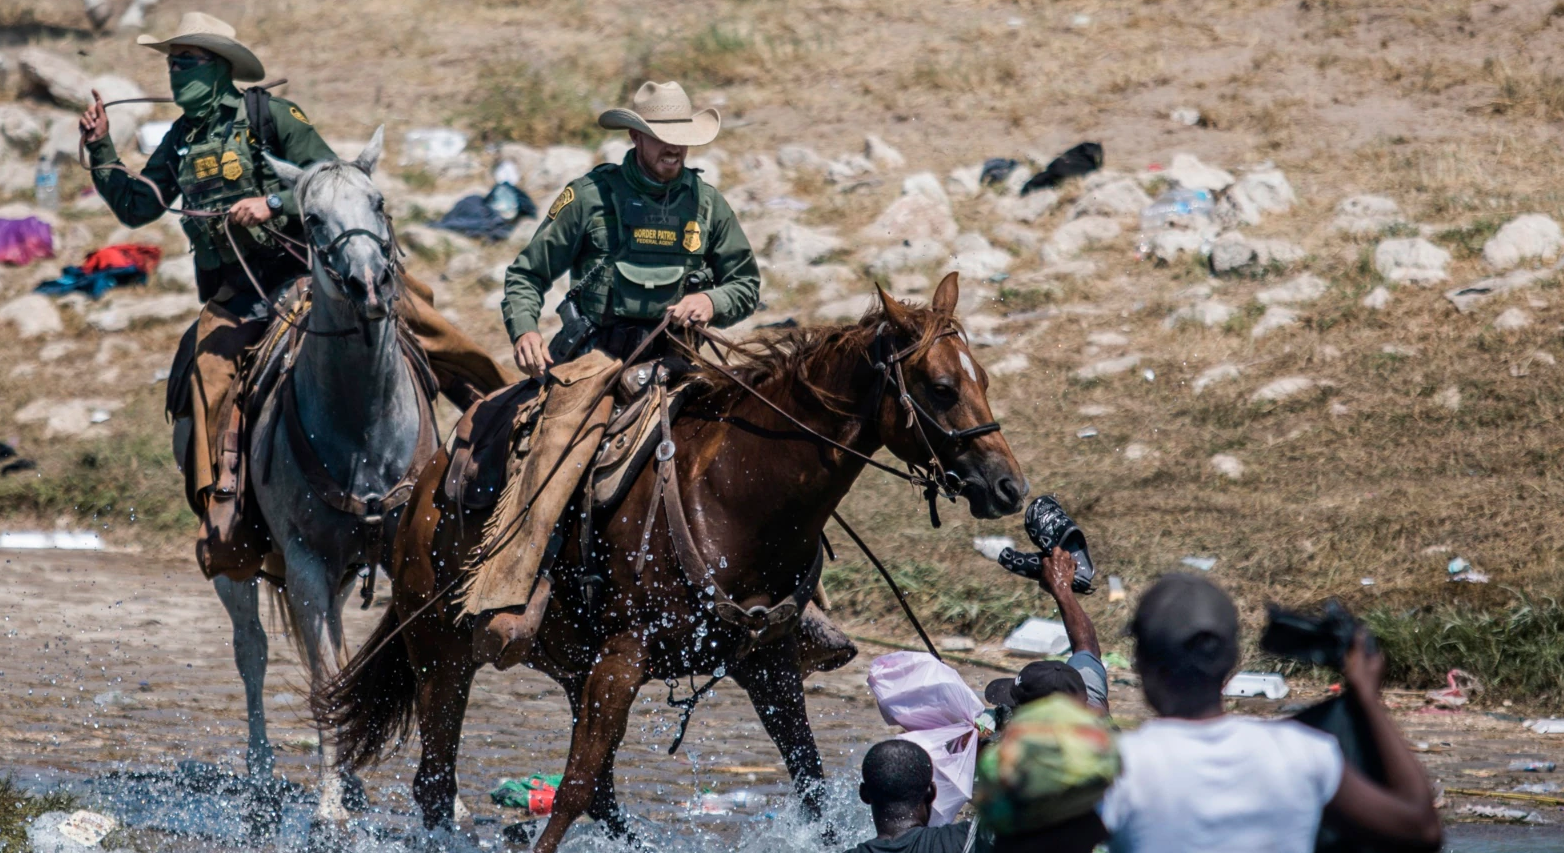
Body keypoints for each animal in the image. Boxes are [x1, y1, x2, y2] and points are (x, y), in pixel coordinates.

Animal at [208, 129, 441, 826]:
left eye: (379, 201)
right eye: (312, 219)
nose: (370, 284)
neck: (363, 426)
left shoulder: (403, 554)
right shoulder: (306, 564)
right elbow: (321, 675)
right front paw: (330, 803)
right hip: (238, 562)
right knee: (253, 651)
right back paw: (264, 779)